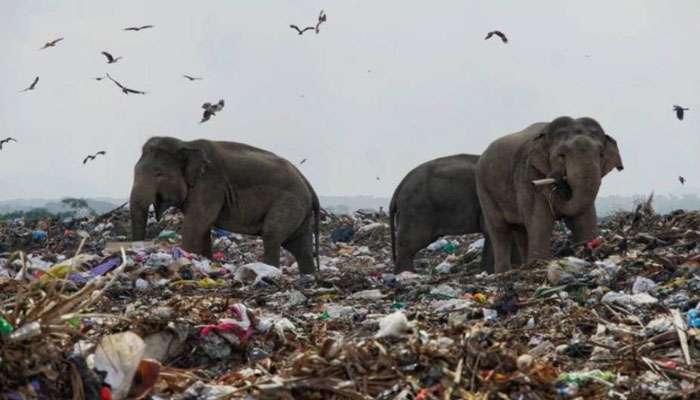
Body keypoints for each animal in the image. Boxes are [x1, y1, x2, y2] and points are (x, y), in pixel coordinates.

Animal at [129, 136, 320, 274]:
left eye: (158, 173)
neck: (186, 144)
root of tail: (307, 183)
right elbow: (202, 229)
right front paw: (206, 262)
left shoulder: (210, 185)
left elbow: (195, 225)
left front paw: (187, 260)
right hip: (300, 210)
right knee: (300, 246)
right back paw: (308, 276)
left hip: (289, 202)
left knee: (272, 235)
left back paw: (270, 271)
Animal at [476, 115, 624, 272]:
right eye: (561, 155)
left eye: (601, 155)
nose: (554, 176)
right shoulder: (528, 174)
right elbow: (540, 221)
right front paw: (539, 263)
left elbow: (584, 219)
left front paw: (590, 249)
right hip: (484, 189)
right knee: (500, 231)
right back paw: (505, 271)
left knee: (521, 230)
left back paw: (524, 266)